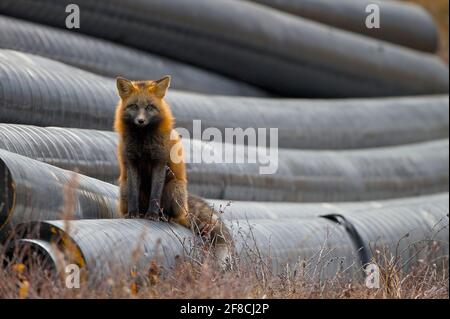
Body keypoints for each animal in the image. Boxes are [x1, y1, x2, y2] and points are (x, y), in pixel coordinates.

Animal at [114, 77, 232, 264]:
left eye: (149, 107)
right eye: (133, 106)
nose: (140, 121)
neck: (143, 140)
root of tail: (185, 209)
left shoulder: (160, 163)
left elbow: (155, 194)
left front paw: (152, 216)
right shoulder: (132, 163)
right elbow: (134, 193)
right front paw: (133, 214)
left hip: (174, 187)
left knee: (178, 218)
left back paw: (165, 217)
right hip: (124, 187)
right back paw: (136, 214)